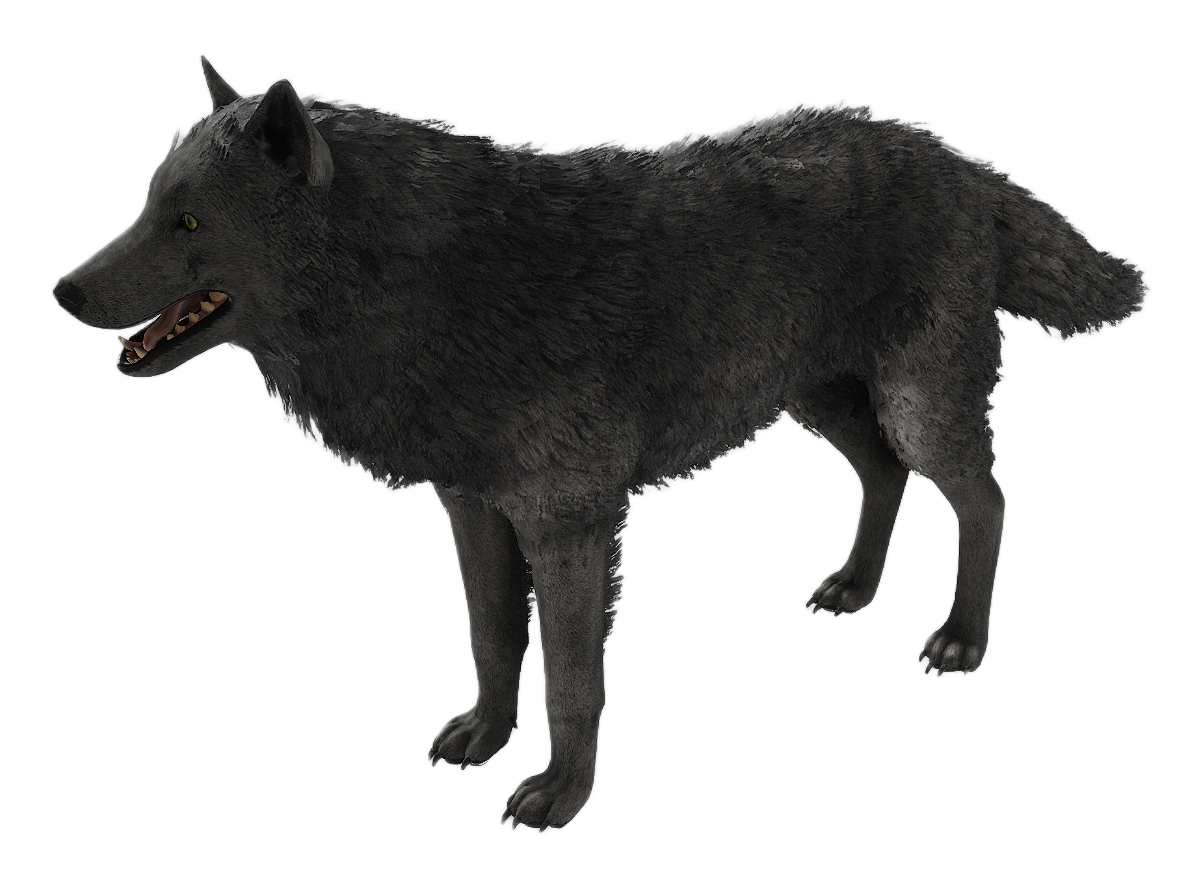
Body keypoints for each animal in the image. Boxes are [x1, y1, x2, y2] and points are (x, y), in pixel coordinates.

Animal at [49, 56, 1151, 832]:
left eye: (189, 222)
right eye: (145, 205)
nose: (62, 291)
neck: (435, 279)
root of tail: (963, 160)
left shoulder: (573, 523)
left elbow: (576, 679)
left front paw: (561, 793)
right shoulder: (473, 508)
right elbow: (494, 639)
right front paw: (486, 736)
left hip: (915, 403)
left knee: (987, 500)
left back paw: (961, 639)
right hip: (819, 400)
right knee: (884, 476)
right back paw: (851, 587)